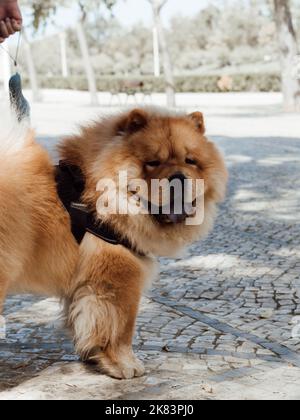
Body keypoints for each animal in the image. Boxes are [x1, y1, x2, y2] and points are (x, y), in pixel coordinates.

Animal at [0, 104, 227, 378]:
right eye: (152, 163)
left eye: (190, 161)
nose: (178, 178)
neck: (95, 196)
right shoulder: (118, 279)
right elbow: (121, 327)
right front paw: (125, 365)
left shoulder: (83, 284)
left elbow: (82, 321)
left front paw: (91, 357)